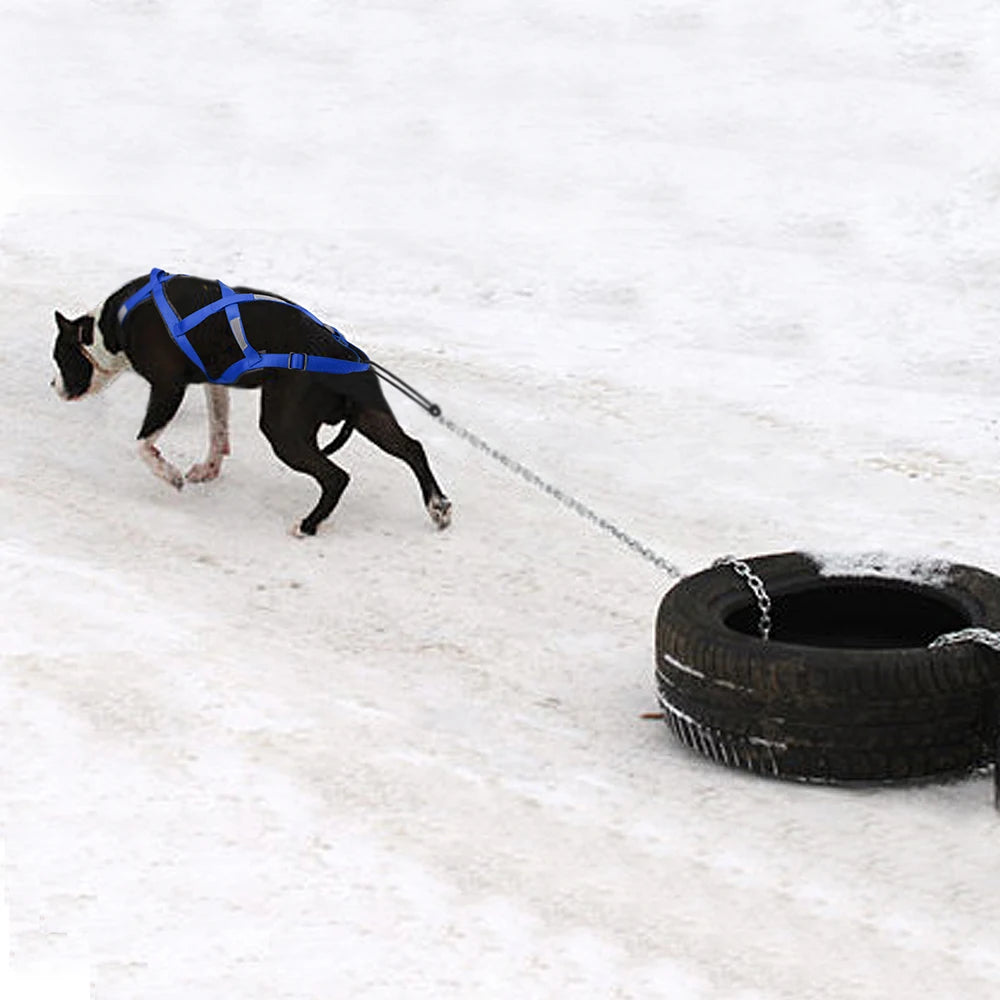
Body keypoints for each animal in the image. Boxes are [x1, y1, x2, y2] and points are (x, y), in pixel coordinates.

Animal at [50, 274, 450, 536]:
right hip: (368, 415)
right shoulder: (213, 383)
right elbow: (218, 430)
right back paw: (438, 506)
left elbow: (143, 445)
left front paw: (170, 475)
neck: (111, 326)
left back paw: (309, 525)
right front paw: (207, 469)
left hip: (282, 430)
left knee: (336, 477)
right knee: (412, 449)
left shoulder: (167, 387)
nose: (53, 385)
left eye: (59, 358)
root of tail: (344, 352)